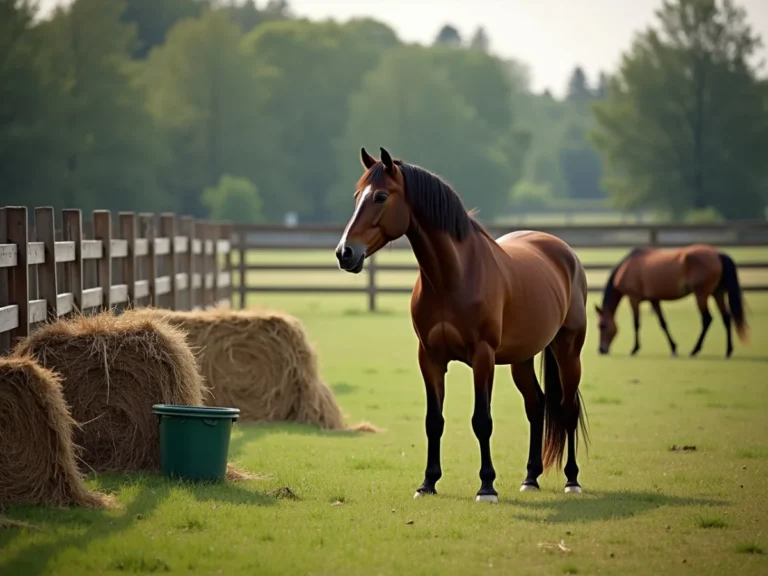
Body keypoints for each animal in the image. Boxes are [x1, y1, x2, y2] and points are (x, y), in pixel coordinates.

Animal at [334, 147, 590, 501]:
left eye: (381, 196)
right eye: (358, 196)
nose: (344, 253)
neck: (452, 277)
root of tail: (563, 251)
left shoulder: (482, 356)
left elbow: (482, 420)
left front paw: (487, 486)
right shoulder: (429, 358)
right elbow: (434, 421)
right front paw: (427, 483)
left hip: (568, 351)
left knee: (567, 408)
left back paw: (572, 479)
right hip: (522, 358)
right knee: (536, 406)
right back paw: (530, 477)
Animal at [594, 245, 748, 358]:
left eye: (602, 326)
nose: (601, 349)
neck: (628, 266)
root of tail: (718, 254)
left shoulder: (634, 298)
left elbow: (636, 324)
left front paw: (634, 349)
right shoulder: (654, 300)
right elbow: (663, 323)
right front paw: (673, 348)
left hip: (701, 294)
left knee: (707, 319)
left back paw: (695, 350)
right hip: (717, 293)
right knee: (726, 318)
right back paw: (728, 351)